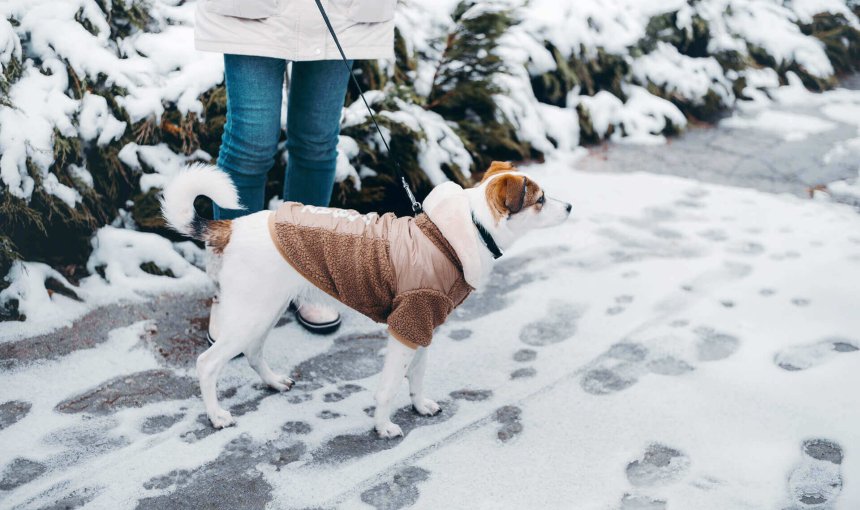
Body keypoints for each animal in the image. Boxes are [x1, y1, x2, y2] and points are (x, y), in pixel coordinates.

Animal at [161, 160, 572, 438]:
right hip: (250, 313)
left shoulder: (424, 326)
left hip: (265, 310)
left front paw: (420, 405)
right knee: (207, 363)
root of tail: (229, 228)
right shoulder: (407, 325)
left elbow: (416, 375)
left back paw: (274, 382)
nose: (569, 207)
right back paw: (216, 415)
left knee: (253, 352)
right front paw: (383, 425)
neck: (464, 231)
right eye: (540, 199)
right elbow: (389, 386)